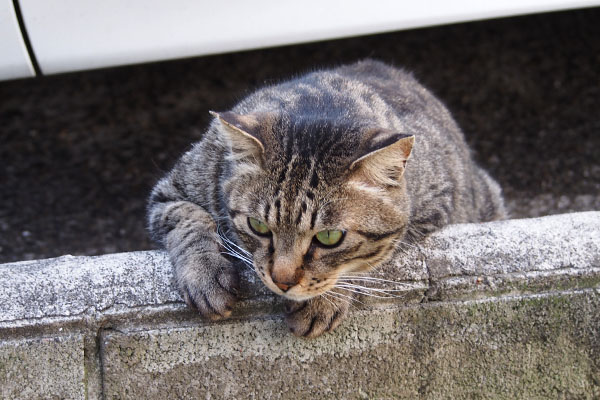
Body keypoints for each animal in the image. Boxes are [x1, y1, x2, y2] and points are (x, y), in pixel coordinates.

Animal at [146, 59, 506, 338]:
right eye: (258, 226)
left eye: (330, 237)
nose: (282, 281)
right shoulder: (169, 192)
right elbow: (189, 220)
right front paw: (204, 273)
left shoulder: (435, 204)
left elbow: (367, 260)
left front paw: (324, 302)